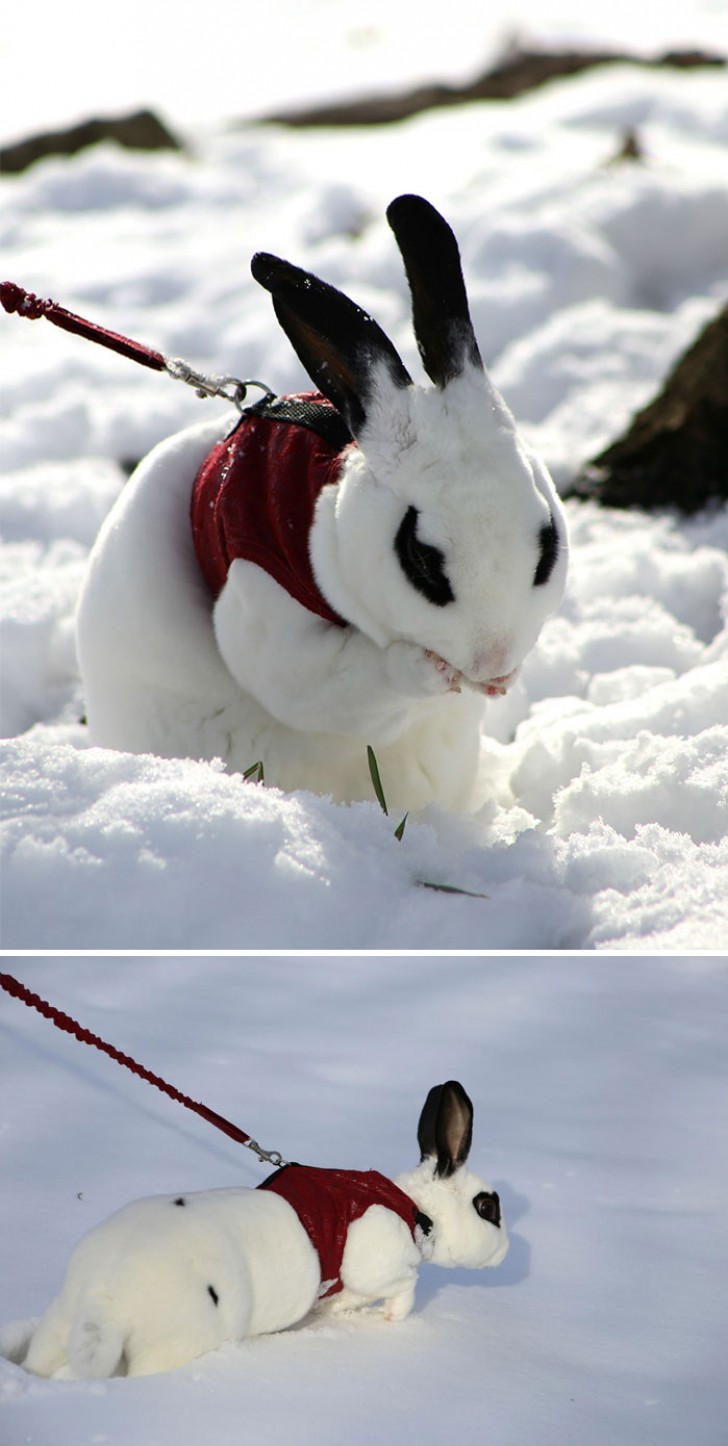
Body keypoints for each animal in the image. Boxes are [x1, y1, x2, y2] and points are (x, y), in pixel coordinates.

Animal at [22, 1087, 506, 1376]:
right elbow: (404, 1286)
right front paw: (388, 1318)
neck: (418, 1211)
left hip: (60, 1320)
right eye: (487, 1207)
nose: (506, 1251)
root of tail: (105, 1296)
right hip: (171, 1343)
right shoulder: (375, 1263)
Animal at [75, 195, 570, 815]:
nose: (494, 666)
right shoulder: (266, 607)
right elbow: (328, 682)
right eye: (420, 558)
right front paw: (429, 670)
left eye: (548, 543)